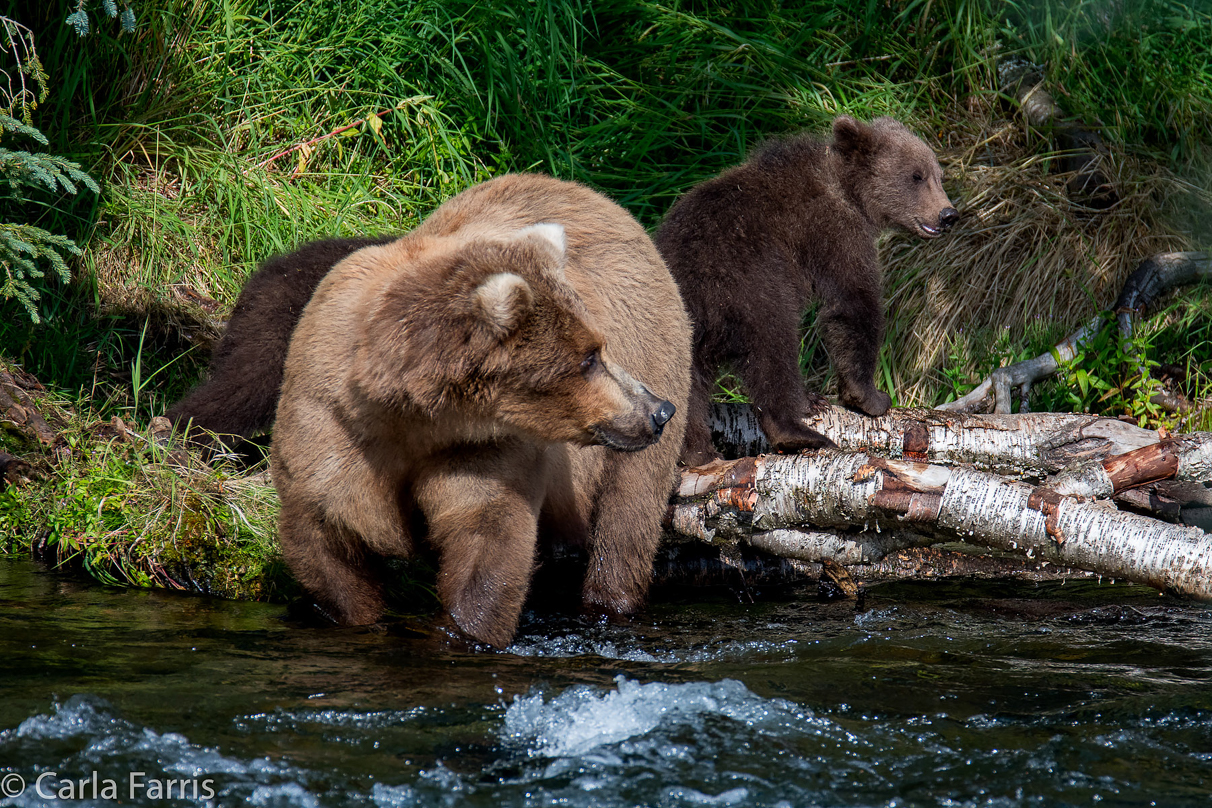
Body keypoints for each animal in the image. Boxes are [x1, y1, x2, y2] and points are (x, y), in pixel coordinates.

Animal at [273, 174, 693, 649]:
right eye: (588, 359)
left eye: (598, 349)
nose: (658, 411)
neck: (414, 419)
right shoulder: (334, 426)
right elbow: (326, 542)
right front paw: (358, 615)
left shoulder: (485, 446)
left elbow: (488, 534)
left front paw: (466, 630)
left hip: (653, 348)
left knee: (627, 519)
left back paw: (609, 602)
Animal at [654, 116, 955, 465]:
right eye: (916, 176)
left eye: (938, 174)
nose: (948, 214)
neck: (850, 193)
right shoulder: (834, 232)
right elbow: (853, 302)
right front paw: (870, 396)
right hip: (749, 286)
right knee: (774, 348)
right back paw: (798, 431)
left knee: (687, 386)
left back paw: (697, 451)